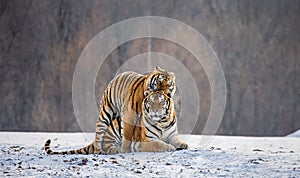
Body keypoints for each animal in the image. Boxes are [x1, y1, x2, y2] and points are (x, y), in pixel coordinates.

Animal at [44, 66, 180, 154]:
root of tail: (117, 77)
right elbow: (129, 134)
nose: (165, 92)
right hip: (106, 114)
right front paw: (126, 149)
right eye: (160, 81)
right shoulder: (129, 115)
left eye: (169, 84)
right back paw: (100, 151)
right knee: (100, 135)